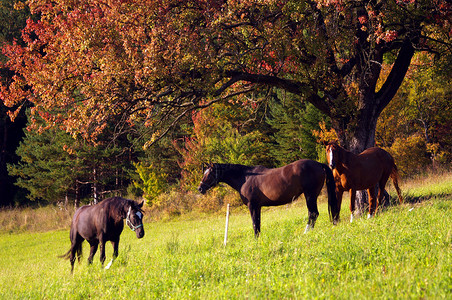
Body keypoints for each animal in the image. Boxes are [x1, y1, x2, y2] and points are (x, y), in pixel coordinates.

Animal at [197, 161, 340, 238]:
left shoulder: (252, 205)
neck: (245, 178)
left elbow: (255, 223)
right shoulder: (258, 207)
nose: (200, 188)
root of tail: (318, 164)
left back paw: (306, 232)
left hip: (310, 195)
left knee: (313, 213)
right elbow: (258, 223)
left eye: (209, 174)